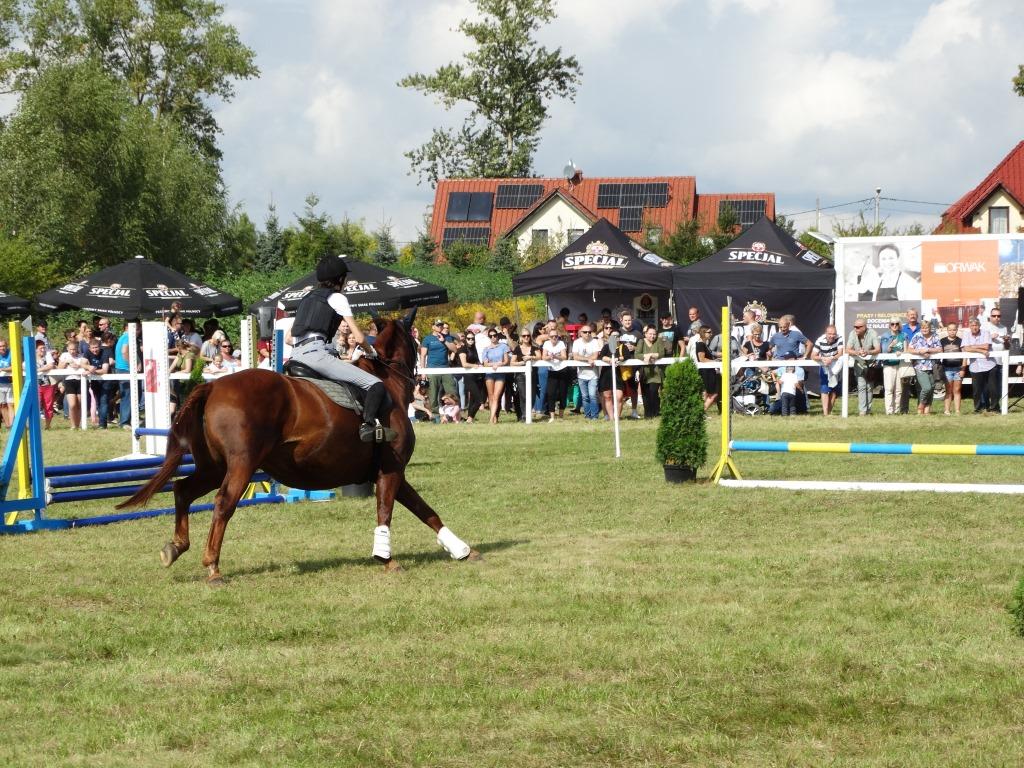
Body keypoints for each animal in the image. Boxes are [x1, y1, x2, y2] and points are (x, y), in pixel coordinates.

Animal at [117, 307, 477, 583]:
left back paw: (176, 547)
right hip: (241, 465)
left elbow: (425, 510)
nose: (422, 382)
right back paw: (213, 567)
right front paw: (385, 558)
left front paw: (462, 550)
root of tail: (214, 386)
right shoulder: (390, 470)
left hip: (213, 466)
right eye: (416, 342)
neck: (387, 383)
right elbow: (386, 511)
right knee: (222, 504)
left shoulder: (390, 472)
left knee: (183, 490)